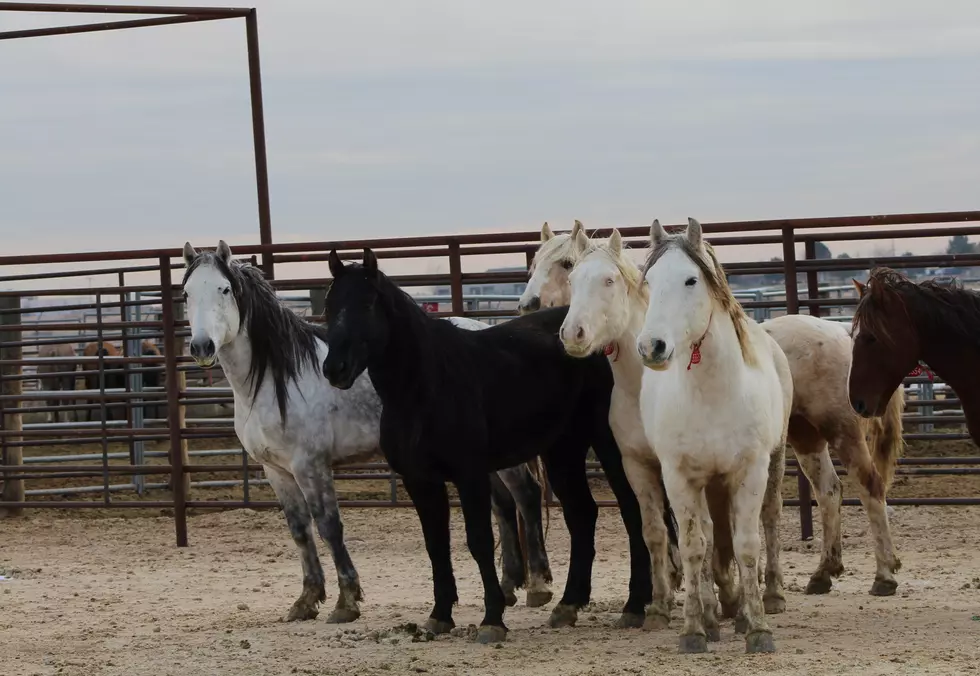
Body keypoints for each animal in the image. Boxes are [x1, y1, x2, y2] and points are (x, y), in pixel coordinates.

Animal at [326, 250, 676, 644]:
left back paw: (635, 605)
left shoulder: (470, 476)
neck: (424, 385)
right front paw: (439, 615)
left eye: (368, 303)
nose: (335, 368)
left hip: (611, 449)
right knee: (582, 514)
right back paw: (569, 604)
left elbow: (479, 540)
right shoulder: (420, 481)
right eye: (329, 304)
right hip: (563, 450)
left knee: (633, 514)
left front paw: (492, 618)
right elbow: (436, 545)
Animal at [636, 219, 796, 652]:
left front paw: (758, 628)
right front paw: (694, 629)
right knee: (708, 537)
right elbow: (695, 547)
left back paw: (766, 599)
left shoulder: (750, 472)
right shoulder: (680, 477)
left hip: (774, 463)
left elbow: (747, 545)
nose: (651, 346)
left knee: (769, 521)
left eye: (691, 280)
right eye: (649, 282)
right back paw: (712, 616)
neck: (713, 395)